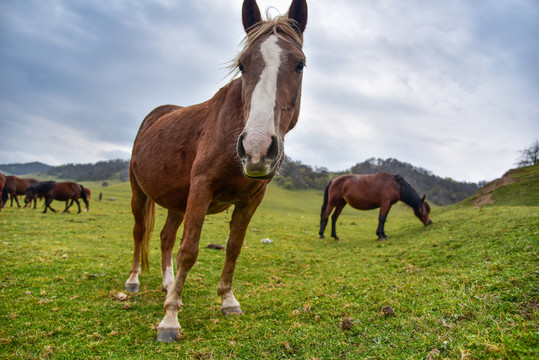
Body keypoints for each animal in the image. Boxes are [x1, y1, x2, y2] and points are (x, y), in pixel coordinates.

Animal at [123, 0, 308, 344]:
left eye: (299, 65)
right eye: (243, 65)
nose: (257, 148)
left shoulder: (251, 200)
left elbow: (233, 247)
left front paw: (227, 300)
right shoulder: (201, 188)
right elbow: (189, 250)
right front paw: (170, 319)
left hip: (176, 201)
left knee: (166, 237)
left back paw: (168, 285)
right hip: (139, 193)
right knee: (140, 233)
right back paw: (134, 281)